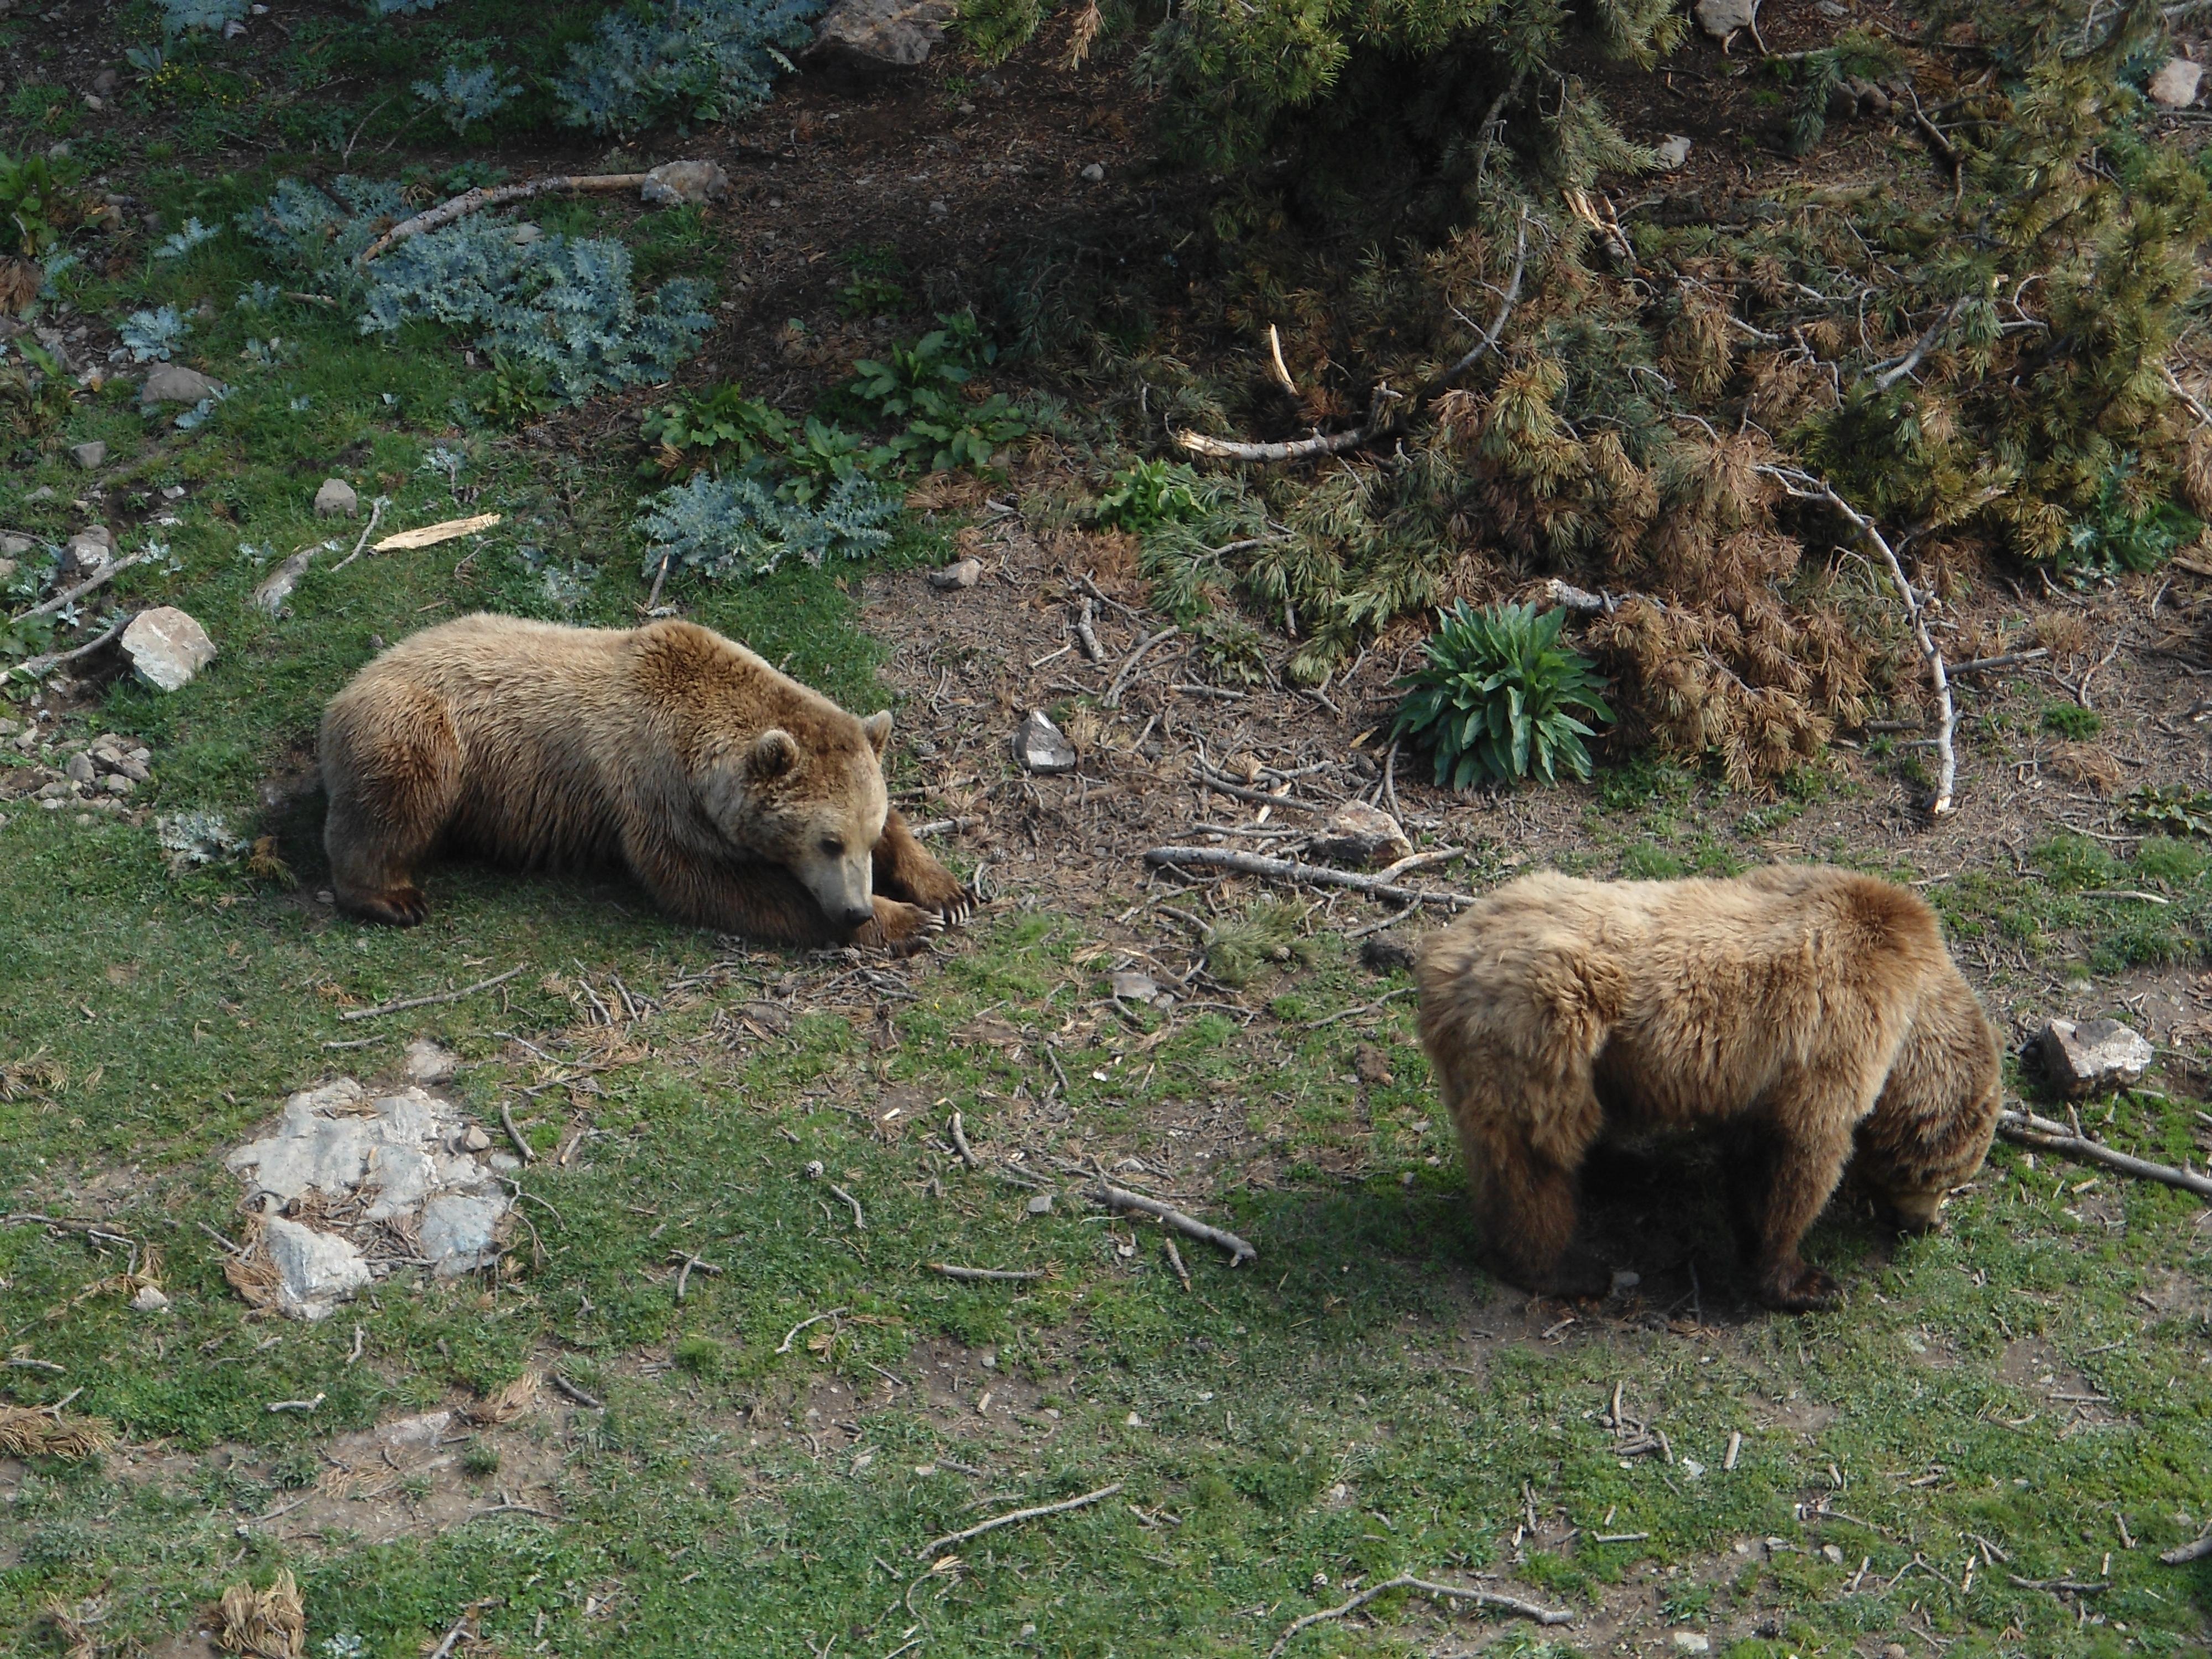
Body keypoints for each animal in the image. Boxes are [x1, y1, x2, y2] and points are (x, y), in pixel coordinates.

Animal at [316, 615, 973, 947]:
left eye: (865, 835)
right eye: (827, 842)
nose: (855, 909)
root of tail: (351, 683)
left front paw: (947, 894)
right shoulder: (654, 795)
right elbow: (713, 884)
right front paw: (906, 921)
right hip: (422, 729)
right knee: (395, 801)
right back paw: (392, 896)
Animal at [1416, 872, 2008, 1310]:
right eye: (1948, 1179)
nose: (1925, 1224)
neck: (1911, 1020)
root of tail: (1440, 958)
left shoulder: (1762, 1076)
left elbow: (1754, 1154)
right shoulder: (1838, 1030)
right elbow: (1800, 1154)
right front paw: (1804, 1281)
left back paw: (1626, 1168)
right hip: (1544, 1036)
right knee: (1535, 1162)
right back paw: (1565, 1269)